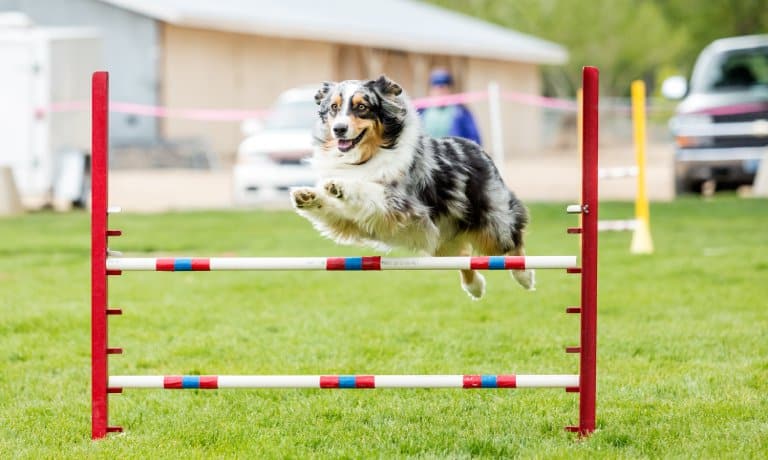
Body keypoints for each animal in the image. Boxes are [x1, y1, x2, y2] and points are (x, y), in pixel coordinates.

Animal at [290, 75, 536, 298]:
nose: (339, 129)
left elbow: (367, 188)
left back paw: (524, 276)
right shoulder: (352, 221)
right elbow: (333, 208)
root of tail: (476, 147)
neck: (365, 156)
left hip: (493, 223)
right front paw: (308, 195)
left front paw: (341, 185)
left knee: (511, 242)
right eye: (334, 107)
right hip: (442, 239)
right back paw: (475, 287)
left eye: (362, 107)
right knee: (464, 255)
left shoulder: (400, 203)